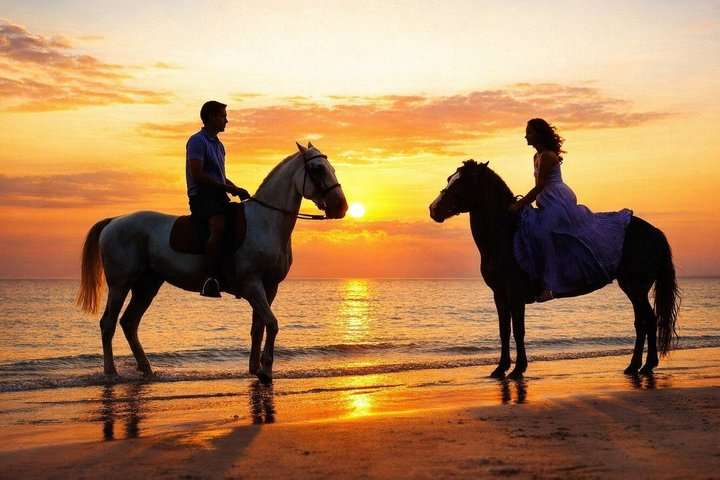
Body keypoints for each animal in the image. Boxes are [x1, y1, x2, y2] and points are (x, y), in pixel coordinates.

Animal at [76, 143, 348, 384]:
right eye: (318, 169)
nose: (341, 207)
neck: (266, 222)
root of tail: (114, 221)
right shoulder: (252, 285)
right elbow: (272, 324)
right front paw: (266, 371)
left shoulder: (270, 287)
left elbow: (259, 326)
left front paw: (255, 368)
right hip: (120, 283)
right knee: (108, 324)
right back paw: (111, 373)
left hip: (147, 285)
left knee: (129, 323)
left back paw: (147, 370)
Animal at [429, 160, 679, 379]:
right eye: (450, 179)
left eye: (460, 183)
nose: (433, 209)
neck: (505, 233)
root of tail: (656, 232)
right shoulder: (499, 294)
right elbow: (504, 330)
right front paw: (500, 369)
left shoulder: (515, 293)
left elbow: (518, 329)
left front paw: (518, 370)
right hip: (633, 287)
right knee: (643, 321)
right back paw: (637, 366)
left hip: (636, 286)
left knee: (648, 320)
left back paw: (645, 366)